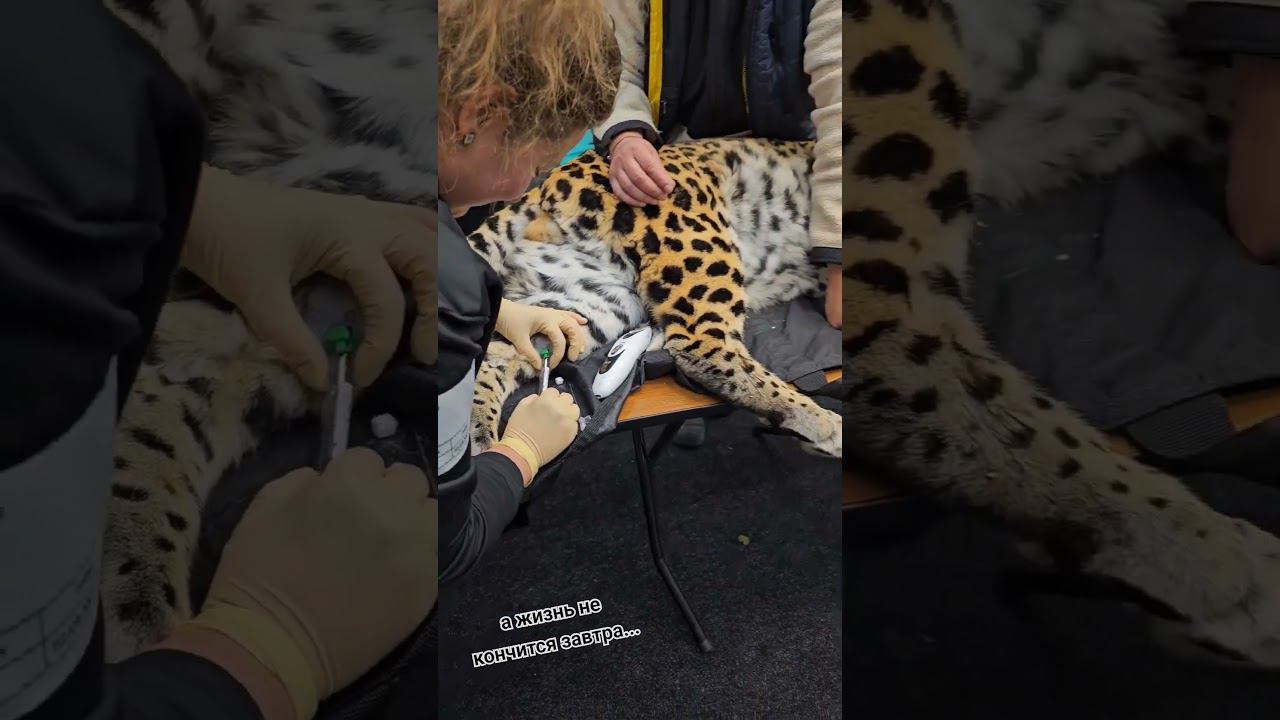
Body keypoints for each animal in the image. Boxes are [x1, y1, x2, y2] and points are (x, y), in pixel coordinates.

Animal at [464, 138, 843, 458]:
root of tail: (550, 183)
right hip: (699, 246)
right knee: (701, 346)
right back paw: (826, 425)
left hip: (595, 299)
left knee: (503, 354)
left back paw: (482, 435)